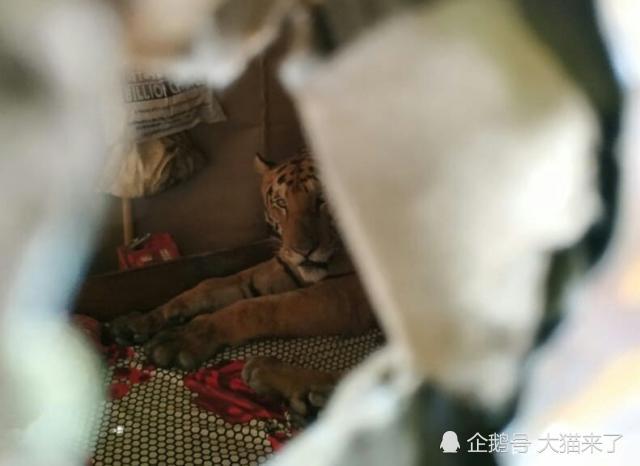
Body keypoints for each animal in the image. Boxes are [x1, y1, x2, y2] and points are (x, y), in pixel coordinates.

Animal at [108, 152, 377, 414]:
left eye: (323, 198)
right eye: (281, 203)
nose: (303, 251)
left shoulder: (347, 295)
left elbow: (256, 308)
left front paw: (182, 339)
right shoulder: (284, 268)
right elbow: (211, 285)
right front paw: (140, 322)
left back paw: (279, 379)